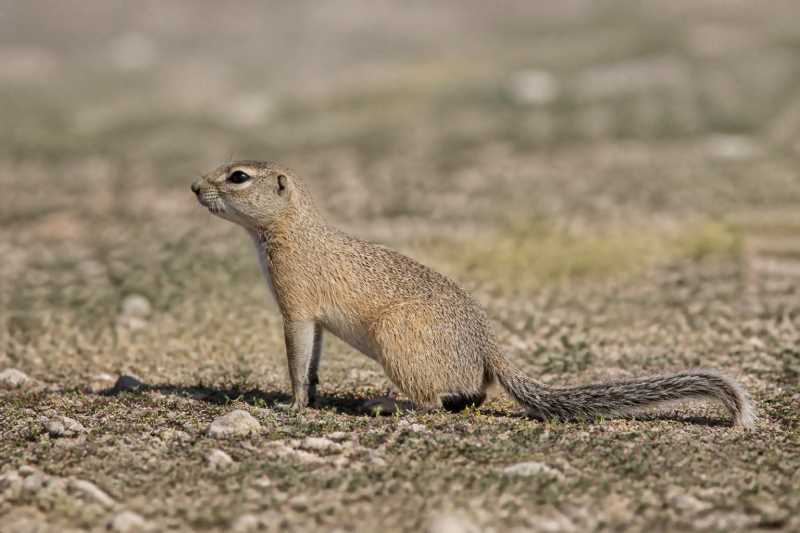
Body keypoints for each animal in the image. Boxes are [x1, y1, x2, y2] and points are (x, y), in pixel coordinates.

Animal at [191, 160, 755, 428]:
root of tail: (489, 349)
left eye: (238, 176)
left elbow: (295, 359)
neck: (291, 230)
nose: (194, 186)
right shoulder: (316, 321)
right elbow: (311, 363)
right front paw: (311, 394)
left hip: (396, 337)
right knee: (468, 395)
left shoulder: (296, 308)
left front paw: (293, 405)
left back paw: (386, 405)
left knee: (435, 401)